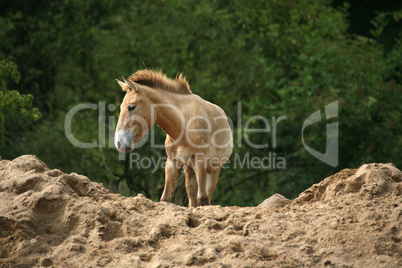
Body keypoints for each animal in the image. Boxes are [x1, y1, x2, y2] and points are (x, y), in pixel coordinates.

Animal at [114, 69, 232, 207]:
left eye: (131, 107)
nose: (119, 143)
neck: (183, 126)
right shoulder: (172, 163)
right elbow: (165, 199)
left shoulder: (200, 162)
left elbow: (202, 199)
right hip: (189, 169)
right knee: (192, 198)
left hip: (212, 170)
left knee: (204, 197)